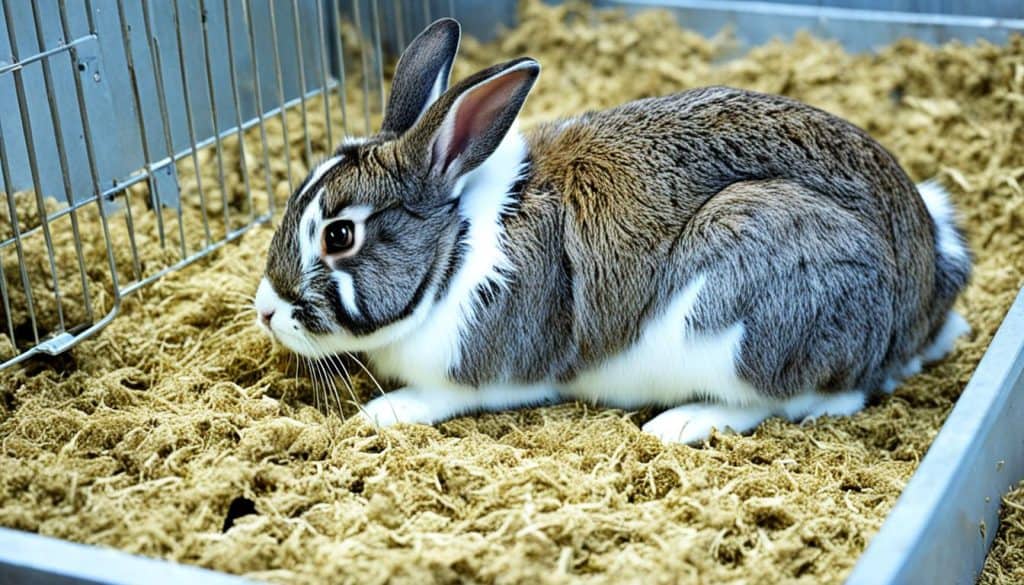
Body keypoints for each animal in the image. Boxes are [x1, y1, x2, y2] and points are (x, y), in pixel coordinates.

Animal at [254, 18, 971, 444]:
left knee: (798, 399)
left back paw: (680, 423)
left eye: (339, 236)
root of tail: (925, 297)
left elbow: (437, 395)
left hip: (746, 307)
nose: (265, 311)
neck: (452, 250)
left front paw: (382, 412)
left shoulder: (475, 374)